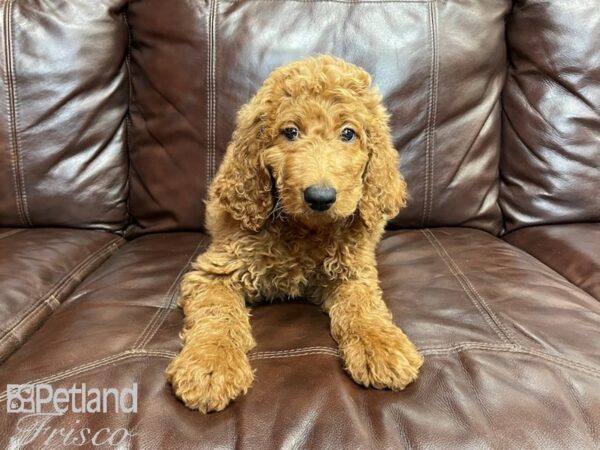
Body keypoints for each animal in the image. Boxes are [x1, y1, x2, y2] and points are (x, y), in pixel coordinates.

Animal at [166, 54, 424, 414]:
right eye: (290, 132)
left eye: (348, 134)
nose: (320, 197)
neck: (304, 231)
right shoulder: (214, 273)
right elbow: (218, 314)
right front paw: (210, 366)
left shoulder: (352, 271)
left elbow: (363, 305)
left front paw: (382, 347)